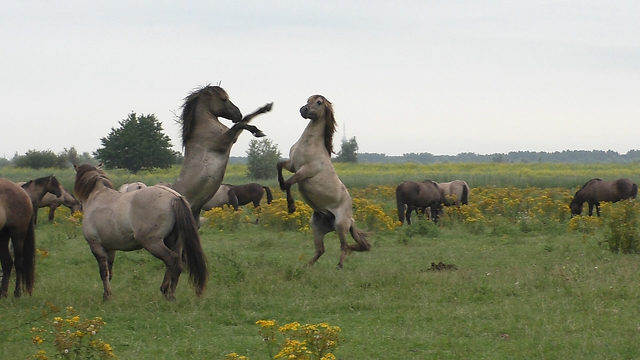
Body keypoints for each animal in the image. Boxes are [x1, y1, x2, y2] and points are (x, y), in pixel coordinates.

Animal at [74, 165, 208, 300]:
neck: (97, 197)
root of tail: (174, 197)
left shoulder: (95, 245)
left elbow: (103, 272)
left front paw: (106, 296)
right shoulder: (110, 248)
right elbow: (109, 271)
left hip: (152, 242)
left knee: (170, 259)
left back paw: (164, 289)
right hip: (175, 242)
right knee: (178, 266)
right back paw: (172, 296)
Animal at [170, 85, 272, 224]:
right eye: (223, 99)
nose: (237, 114)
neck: (204, 126)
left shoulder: (232, 138)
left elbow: (246, 119)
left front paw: (266, 107)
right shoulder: (223, 142)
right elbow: (240, 124)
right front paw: (257, 131)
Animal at [276, 94, 370, 268]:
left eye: (319, 102)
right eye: (308, 100)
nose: (303, 110)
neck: (310, 144)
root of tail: (350, 219)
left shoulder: (305, 172)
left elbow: (289, 183)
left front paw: (291, 207)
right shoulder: (292, 165)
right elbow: (279, 166)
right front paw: (280, 185)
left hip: (340, 225)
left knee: (344, 245)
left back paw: (339, 267)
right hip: (317, 227)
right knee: (320, 250)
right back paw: (306, 267)